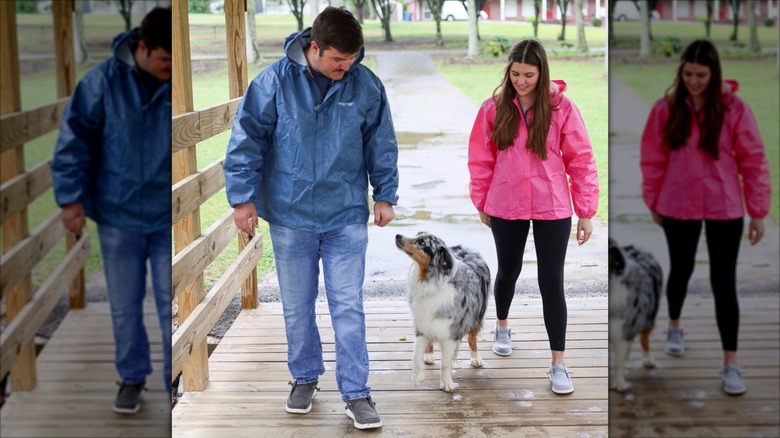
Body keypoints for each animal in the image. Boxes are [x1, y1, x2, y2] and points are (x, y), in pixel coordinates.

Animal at [394, 233, 490, 394]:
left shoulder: (450, 333)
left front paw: (447, 383)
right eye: (417, 234)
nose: (398, 235)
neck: (429, 283)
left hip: (478, 314)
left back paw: (475, 358)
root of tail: (463, 247)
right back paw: (429, 355)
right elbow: (415, 354)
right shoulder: (422, 324)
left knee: (472, 337)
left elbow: (445, 363)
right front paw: (417, 376)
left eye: (422, 242)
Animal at [608, 238, 664, 392]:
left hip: (648, 316)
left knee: (644, 338)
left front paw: (619, 383)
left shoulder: (621, 332)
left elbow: (618, 363)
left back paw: (648, 359)